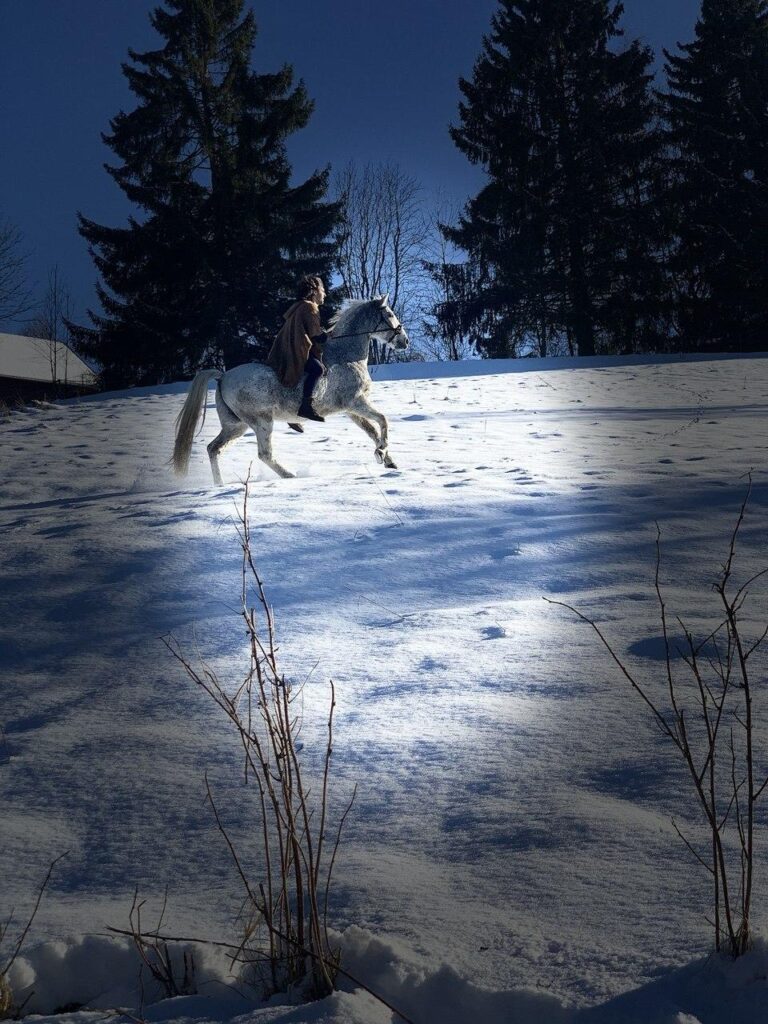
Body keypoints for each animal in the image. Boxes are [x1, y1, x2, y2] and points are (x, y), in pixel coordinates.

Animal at [172, 295, 409, 485]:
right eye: (389, 313)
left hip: (235, 426)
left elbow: (372, 431)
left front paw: (388, 460)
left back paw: (219, 485)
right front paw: (381, 453)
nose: (405, 341)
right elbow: (383, 421)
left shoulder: (351, 410)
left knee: (213, 449)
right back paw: (291, 476)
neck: (346, 356)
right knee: (264, 454)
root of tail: (223, 377)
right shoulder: (356, 402)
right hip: (261, 422)